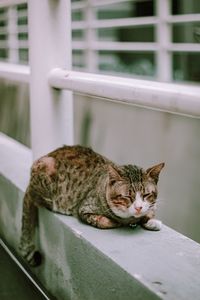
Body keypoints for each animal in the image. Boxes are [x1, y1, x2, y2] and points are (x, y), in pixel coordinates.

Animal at [19, 146, 165, 268]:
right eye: (127, 196)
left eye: (146, 195)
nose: (138, 207)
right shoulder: (84, 209)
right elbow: (102, 220)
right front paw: (116, 221)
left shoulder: (149, 207)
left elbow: (150, 212)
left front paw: (151, 221)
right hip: (47, 175)